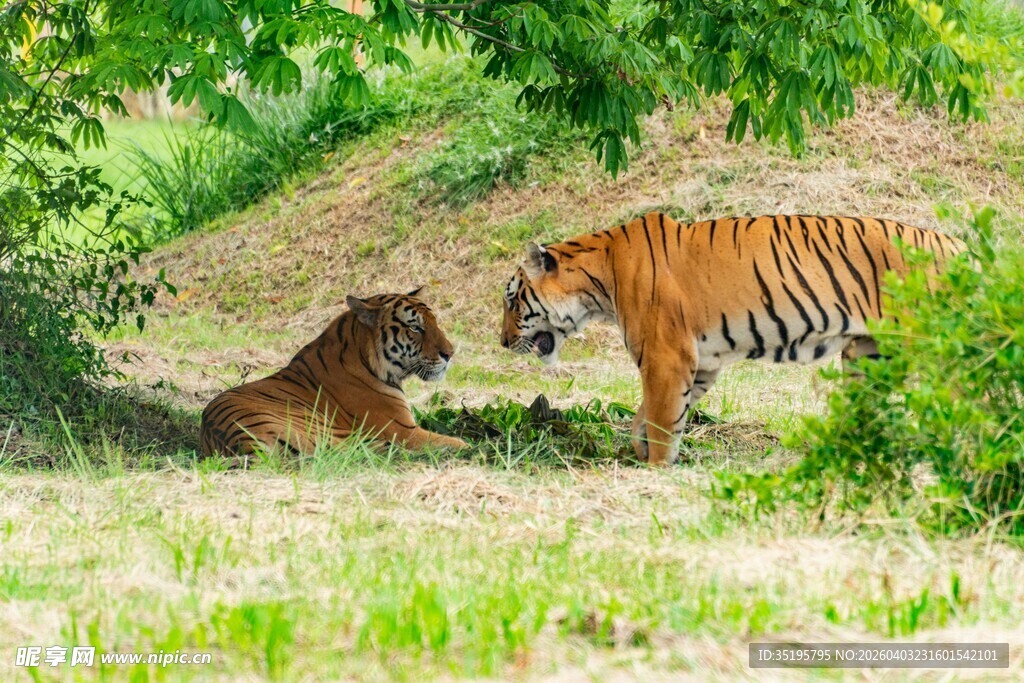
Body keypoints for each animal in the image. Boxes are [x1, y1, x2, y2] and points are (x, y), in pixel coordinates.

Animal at [200, 289, 468, 457]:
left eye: (434, 322)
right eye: (415, 328)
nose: (450, 353)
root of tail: (242, 443)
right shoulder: (404, 431)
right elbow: (452, 440)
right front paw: (465, 444)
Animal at [500, 212, 965, 466]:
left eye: (511, 300)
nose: (503, 342)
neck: (600, 278)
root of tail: (958, 244)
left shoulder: (666, 355)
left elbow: (662, 417)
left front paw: (655, 469)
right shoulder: (700, 361)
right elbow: (654, 415)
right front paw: (640, 450)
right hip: (869, 354)